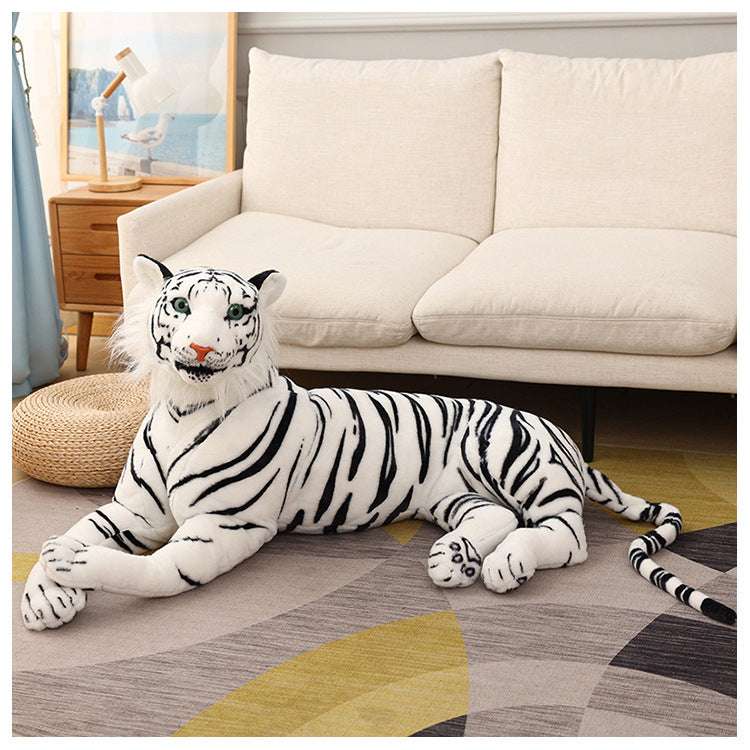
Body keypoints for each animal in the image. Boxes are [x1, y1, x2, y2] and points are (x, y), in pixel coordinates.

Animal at [21, 255, 736, 630]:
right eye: (178, 308)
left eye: (237, 312)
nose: (199, 347)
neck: (184, 408)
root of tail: (562, 434)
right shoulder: (130, 511)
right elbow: (78, 530)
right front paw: (46, 591)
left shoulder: (222, 529)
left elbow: (155, 572)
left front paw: (75, 569)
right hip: (453, 495)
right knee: (496, 517)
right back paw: (457, 559)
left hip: (509, 455)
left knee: (567, 533)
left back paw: (506, 565)